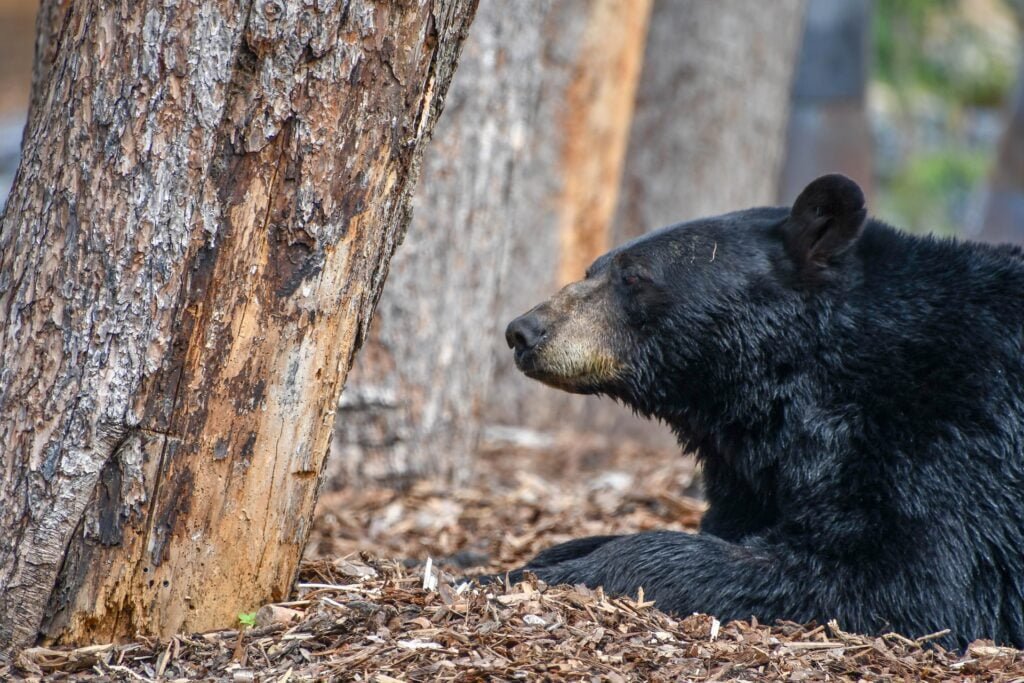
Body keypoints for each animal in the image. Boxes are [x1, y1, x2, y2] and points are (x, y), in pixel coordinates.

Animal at [495, 174, 1024, 651]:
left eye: (634, 275)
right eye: (593, 269)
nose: (524, 331)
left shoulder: (949, 442)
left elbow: (908, 578)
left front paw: (533, 576)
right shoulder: (756, 467)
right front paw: (540, 559)